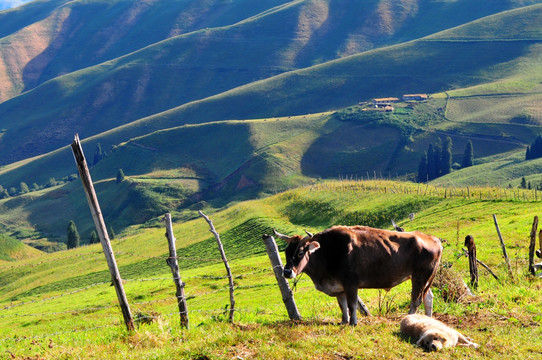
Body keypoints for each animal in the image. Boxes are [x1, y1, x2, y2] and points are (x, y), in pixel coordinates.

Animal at [274, 226, 444, 324]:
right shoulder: (338, 286)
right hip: (424, 279)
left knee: (416, 300)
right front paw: (344, 321)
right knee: (428, 298)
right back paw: (428, 320)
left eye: (301, 252)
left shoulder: (351, 283)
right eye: (286, 252)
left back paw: (410, 319)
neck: (327, 252)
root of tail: (432, 238)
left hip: (420, 277)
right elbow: (342, 305)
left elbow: (352, 304)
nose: (287, 272)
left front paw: (353, 323)